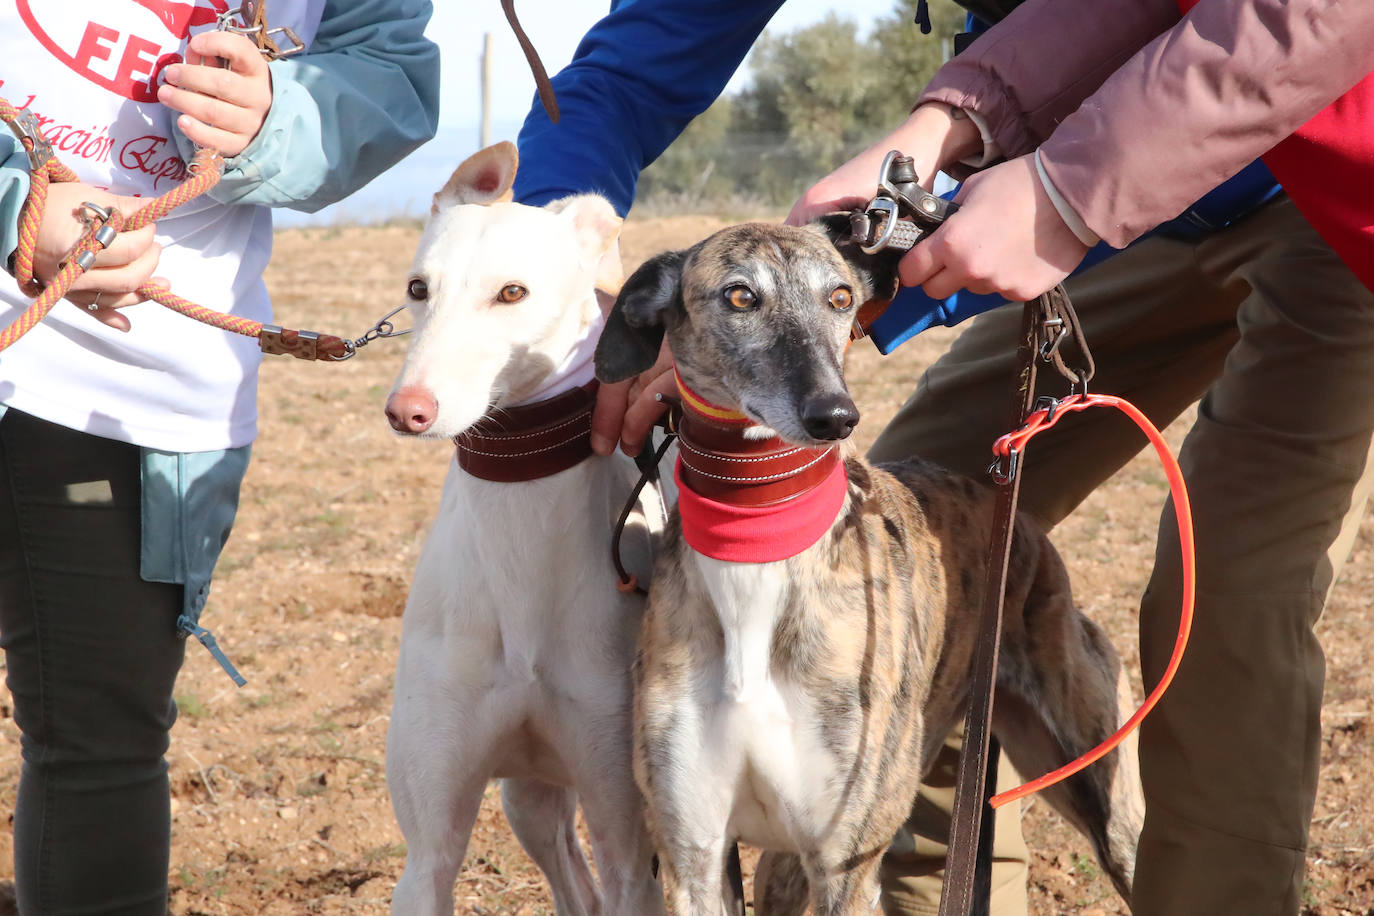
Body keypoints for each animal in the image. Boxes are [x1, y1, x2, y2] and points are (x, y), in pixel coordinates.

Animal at [384, 143, 667, 916]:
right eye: (418, 288)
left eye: (512, 293)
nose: (408, 410)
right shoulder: (427, 853)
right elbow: (433, 856)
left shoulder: (629, 843)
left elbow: (625, 871)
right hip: (529, 800)